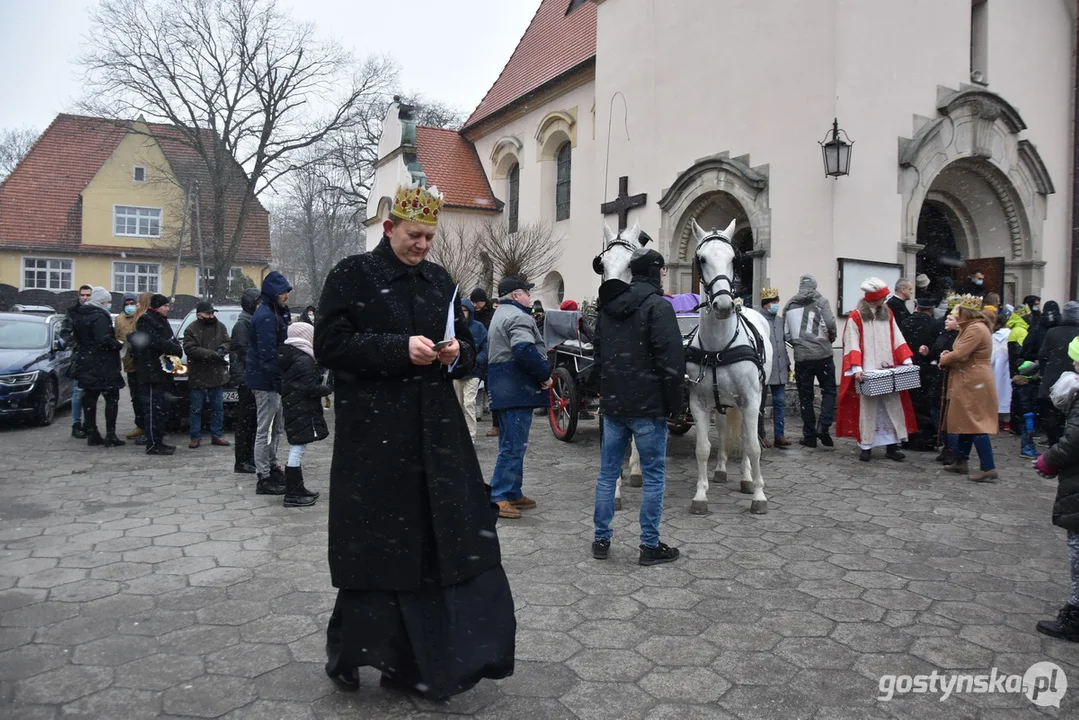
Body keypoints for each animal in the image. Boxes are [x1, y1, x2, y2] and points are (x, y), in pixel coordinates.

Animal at [686, 221, 772, 518]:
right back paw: (722, 469)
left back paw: (746, 478)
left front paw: (758, 494)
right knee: (723, 429)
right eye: (701, 260)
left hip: (752, 400)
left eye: (735, 259)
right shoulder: (699, 402)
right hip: (721, 401)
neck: (718, 347)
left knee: (746, 437)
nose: (723, 306)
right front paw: (700, 495)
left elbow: (753, 446)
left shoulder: (751, 399)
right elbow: (702, 448)